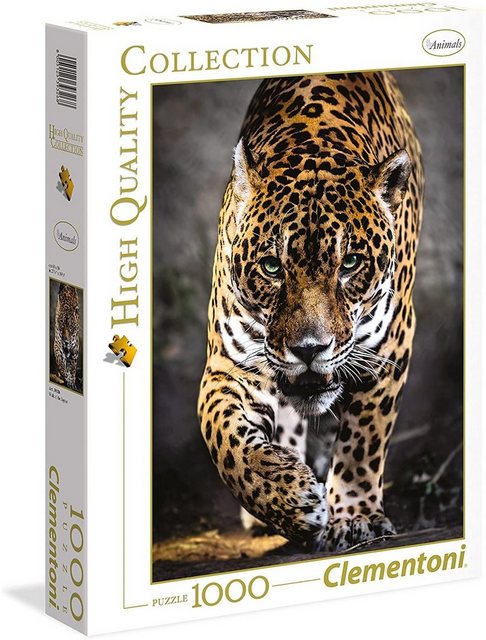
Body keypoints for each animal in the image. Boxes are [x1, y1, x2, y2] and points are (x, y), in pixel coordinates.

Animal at [198, 72, 424, 551]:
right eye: (271, 266)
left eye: (351, 263)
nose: (308, 349)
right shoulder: (231, 364)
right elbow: (223, 437)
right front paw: (289, 499)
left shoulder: (389, 348)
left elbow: (363, 440)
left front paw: (354, 517)